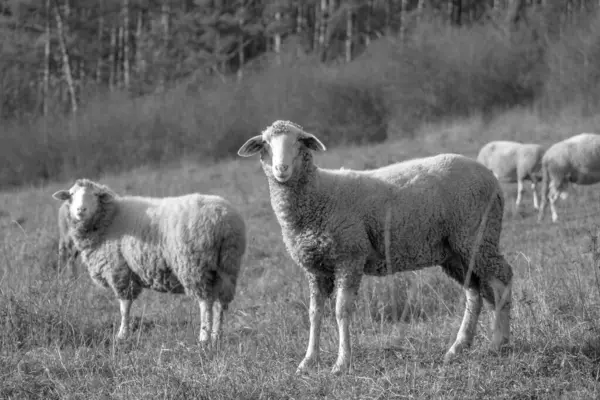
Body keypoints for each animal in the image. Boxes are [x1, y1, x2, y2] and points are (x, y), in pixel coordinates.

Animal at [51, 179, 247, 344]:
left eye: (95, 195)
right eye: (71, 195)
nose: (80, 210)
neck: (110, 218)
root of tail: (224, 220)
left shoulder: (119, 270)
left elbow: (124, 306)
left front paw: (122, 334)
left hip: (195, 265)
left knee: (205, 303)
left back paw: (204, 338)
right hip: (227, 265)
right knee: (221, 303)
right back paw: (216, 336)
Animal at [237, 119, 512, 376]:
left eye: (299, 141)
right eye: (266, 143)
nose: (281, 169)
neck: (319, 194)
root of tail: (491, 176)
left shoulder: (349, 257)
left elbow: (341, 311)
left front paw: (341, 363)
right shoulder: (315, 269)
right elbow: (314, 313)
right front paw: (308, 361)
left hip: (477, 236)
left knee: (501, 280)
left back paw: (499, 343)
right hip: (456, 251)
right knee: (474, 293)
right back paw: (458, 348)